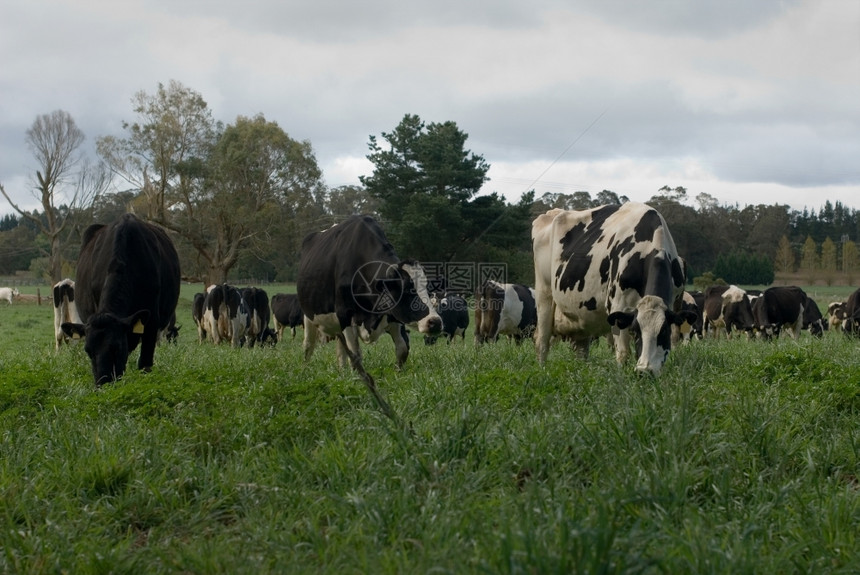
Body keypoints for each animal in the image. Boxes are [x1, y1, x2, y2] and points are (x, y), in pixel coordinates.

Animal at [298, 214, 444, 372]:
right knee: (308, 344)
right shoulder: (345, 314)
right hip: (308, 315)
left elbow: (403, 349)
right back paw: (305, 368)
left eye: (428, 289)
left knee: (340, 348)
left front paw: (398, 372)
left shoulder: (393, 316)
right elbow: (355, 354)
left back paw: (342, 371)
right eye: (405, 290)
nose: (435, 322)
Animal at [532, 204, 692, 378]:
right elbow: (623, 353)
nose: (644, 371)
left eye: (663, 331)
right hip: (544, 294)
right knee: (542, 341)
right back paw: (542, 371)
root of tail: (552, 212)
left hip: (580, 317)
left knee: (580, 350)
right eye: (635, 331)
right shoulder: (618, 306)